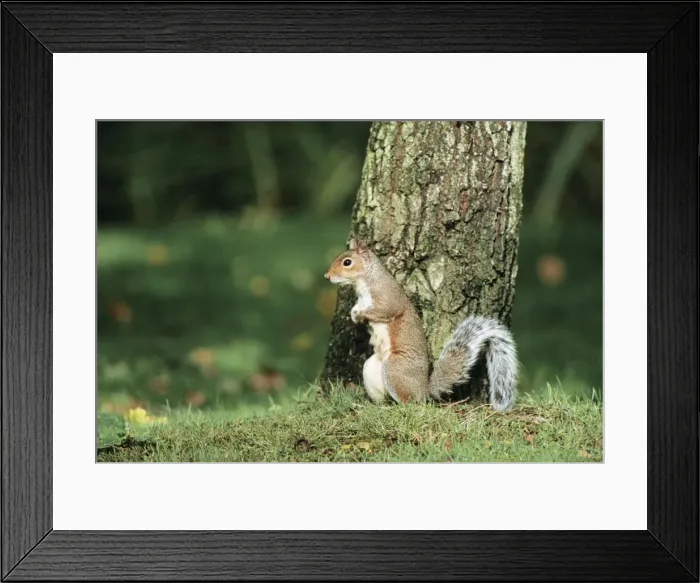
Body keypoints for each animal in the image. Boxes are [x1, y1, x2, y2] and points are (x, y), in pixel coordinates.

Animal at [324, 237, 518, 412]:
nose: (327, 276)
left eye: (347, 262)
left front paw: (361, 315)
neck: (365, 281)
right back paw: (377, 406)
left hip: (395, 369)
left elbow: (385, 310)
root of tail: (423, 390)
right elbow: (357, 307)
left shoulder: (387, 297)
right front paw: (354, 315)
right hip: (371, 369)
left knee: (410, 403)